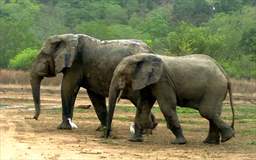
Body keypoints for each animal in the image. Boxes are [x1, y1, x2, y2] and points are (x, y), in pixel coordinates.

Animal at [105, 53, 235, 144]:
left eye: (121, 74)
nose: (107, 137)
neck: (142, 57)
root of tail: (224, 73)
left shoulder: (162, 81)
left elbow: (167, 106)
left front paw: (179, 142)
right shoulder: (149, 82)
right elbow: (143, 106)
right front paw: (134, 140)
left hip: (214, 88)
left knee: (207, 111)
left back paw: (228, 137)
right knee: (213, 112)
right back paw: (211, 142)